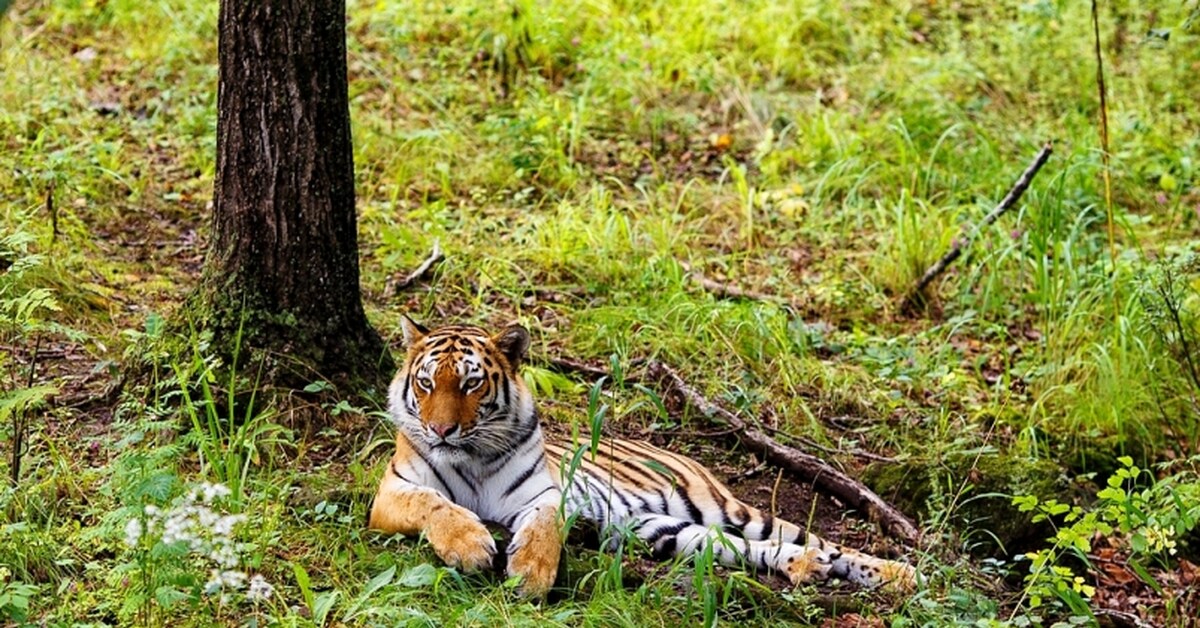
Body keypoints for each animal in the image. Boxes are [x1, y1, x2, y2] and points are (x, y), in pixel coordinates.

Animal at [367, 317, 916, 597]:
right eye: (426, 383)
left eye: (471, 384)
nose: (441, 429)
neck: (472, 453)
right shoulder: (391, 491)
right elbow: (434, 504)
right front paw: (469, 547)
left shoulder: (546, 495)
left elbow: (543, 525)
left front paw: (530, 575)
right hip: (662, 531)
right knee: (756, 550)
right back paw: (804, 567)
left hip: (730, 510)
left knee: (823, 542)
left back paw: (899, 573)